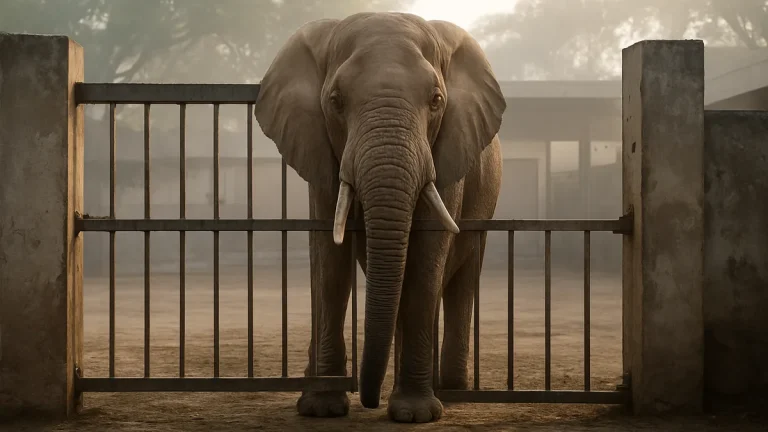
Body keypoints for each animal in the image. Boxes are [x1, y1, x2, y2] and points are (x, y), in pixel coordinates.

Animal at [253, 12, 505, 423]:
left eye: (436, 101)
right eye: (335, 101)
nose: (368, 401)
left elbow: (426, 259)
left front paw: (414, 414)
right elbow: (330, 263)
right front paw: (322, 408)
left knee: (461, 281)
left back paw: (452, 389)